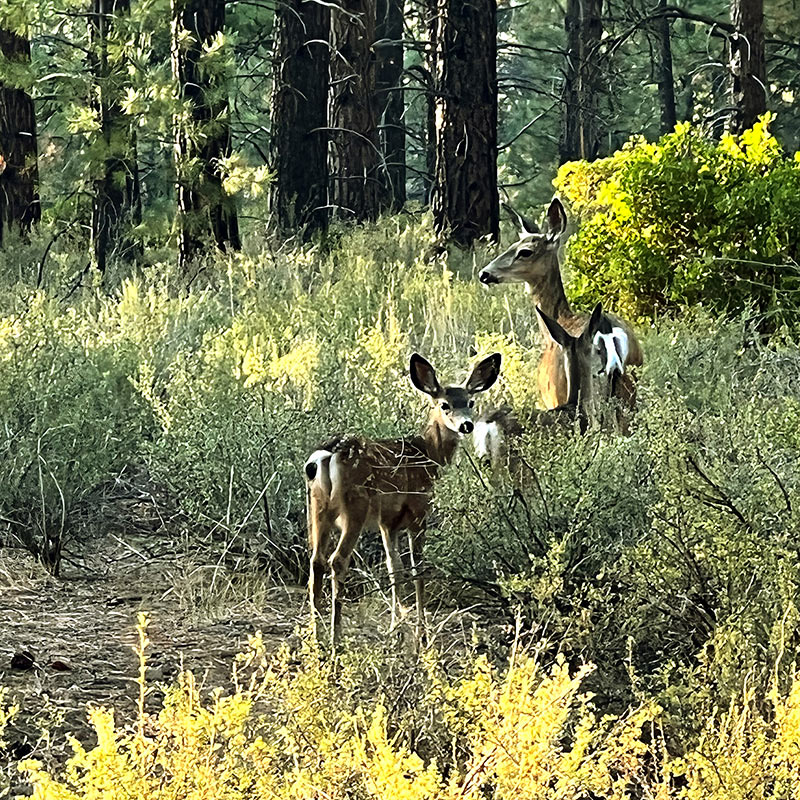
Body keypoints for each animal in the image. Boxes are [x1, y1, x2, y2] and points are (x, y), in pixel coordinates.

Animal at [304, 354, 500, 648]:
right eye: (444, 405)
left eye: (470, 402)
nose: (466, 425)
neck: (428, 454)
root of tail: (327, 456)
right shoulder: (418, 509)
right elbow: (418, 566)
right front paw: (421, 633)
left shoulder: (388, 522)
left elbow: (393, 567)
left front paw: (396, 630)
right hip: (355, 506)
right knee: (337, 560)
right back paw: (336, 639)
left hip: (317, 506)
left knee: (316, 561)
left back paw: (316, 639)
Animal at [476, 198, 644, 424]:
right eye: (511, 246)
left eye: (525, 251)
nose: (484, 274)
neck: (559, 320)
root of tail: (607, 333)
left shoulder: (553, 398)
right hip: (630, 391)